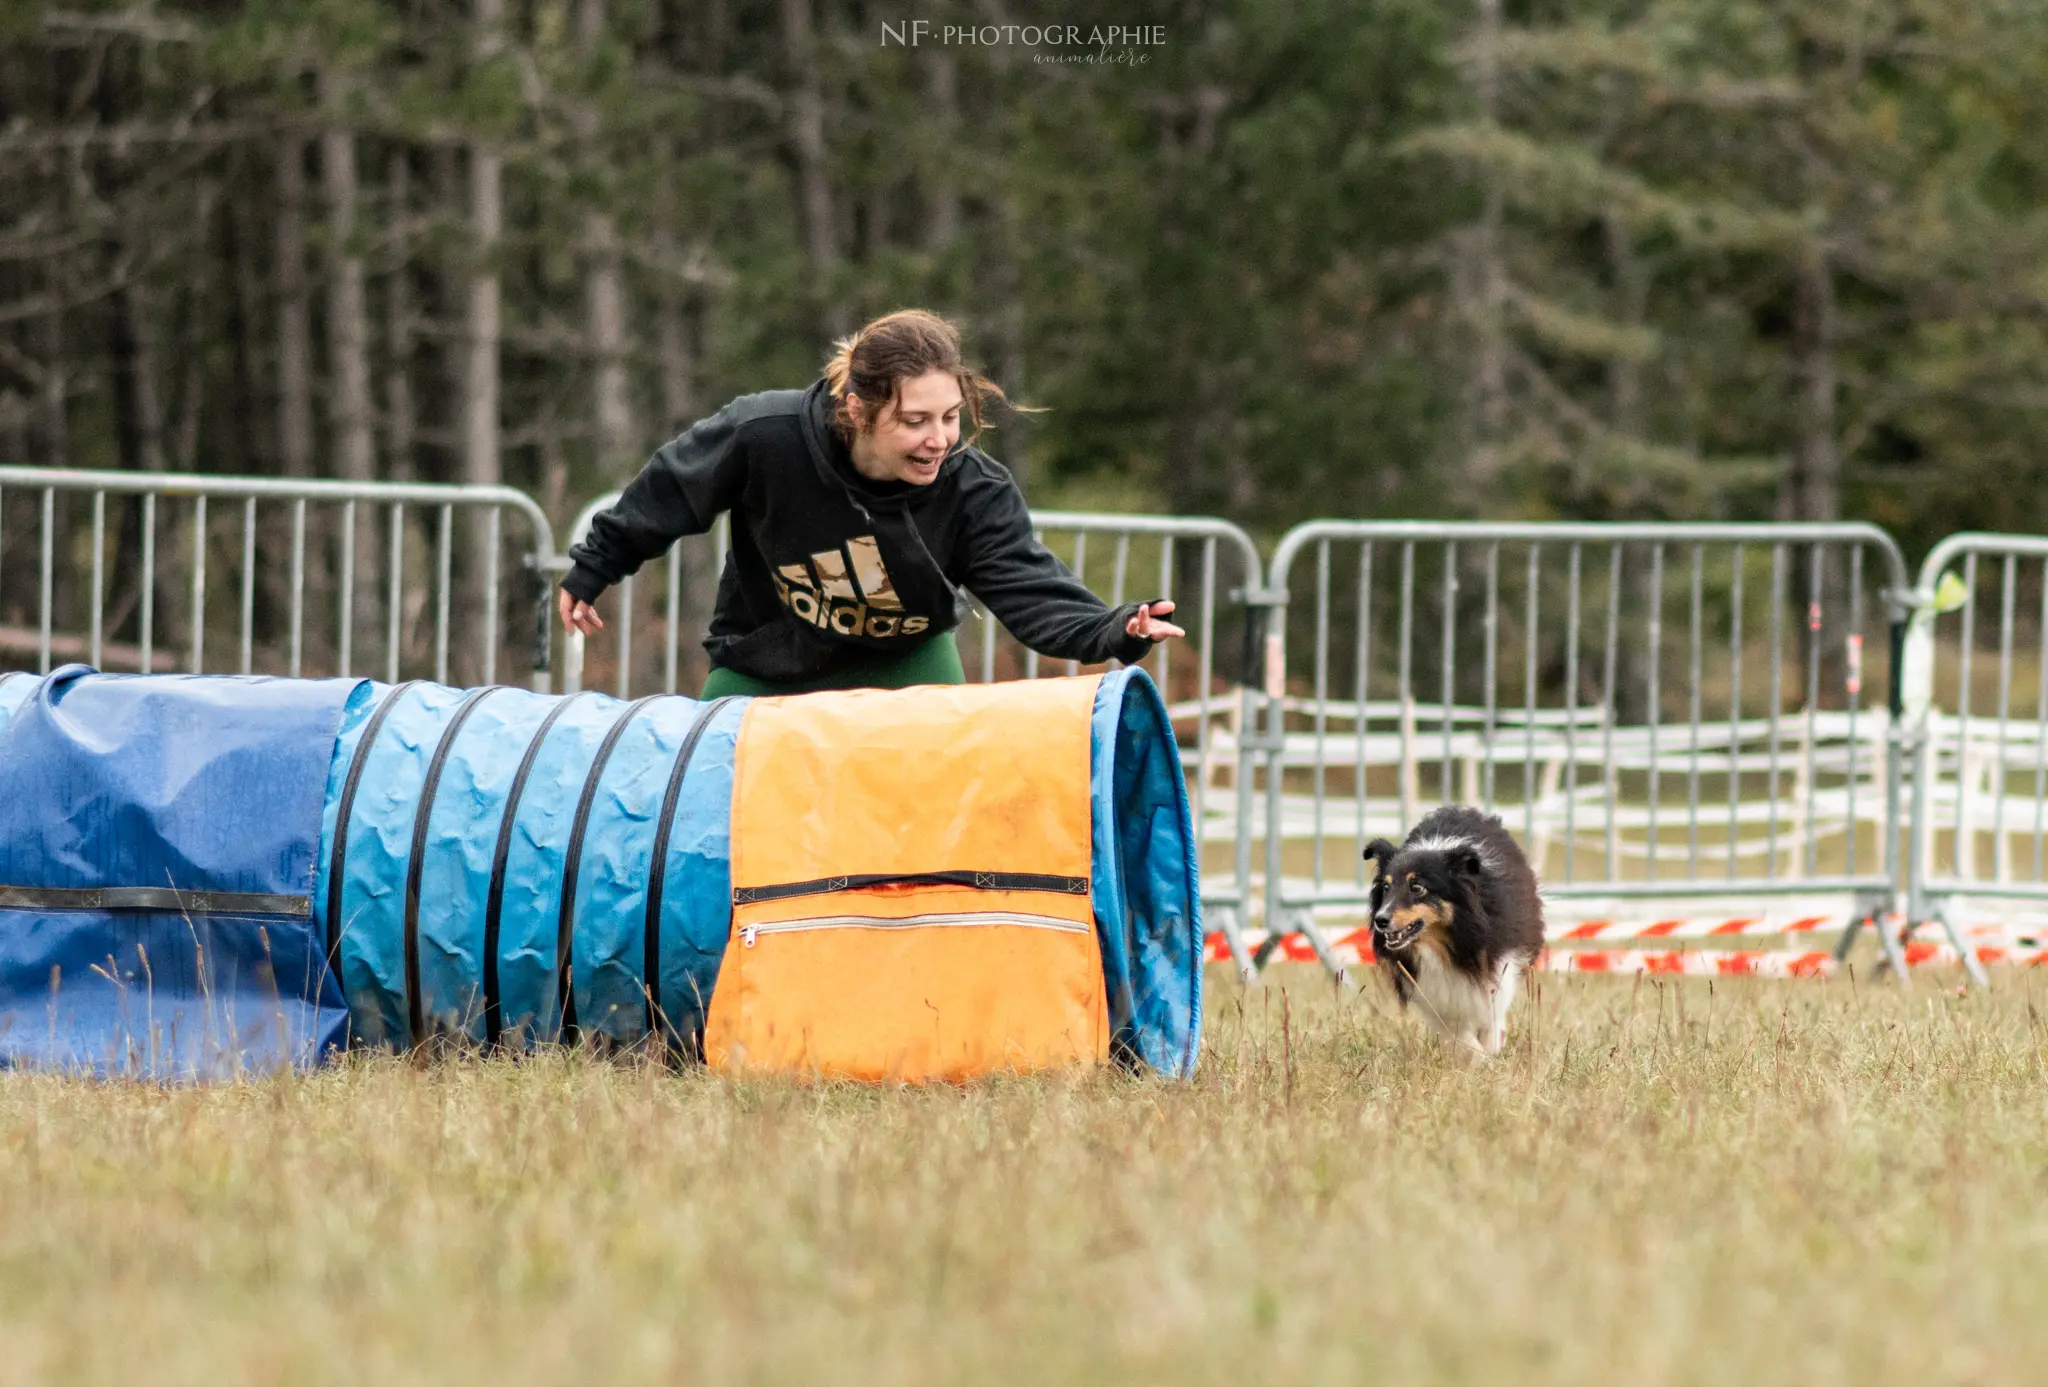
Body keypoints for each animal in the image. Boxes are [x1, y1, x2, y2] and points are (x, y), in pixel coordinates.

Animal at [1368, 807, 1540, 1057]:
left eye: (1417, 888)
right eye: (1386, 887)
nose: (1380, 920)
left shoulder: (1500, 961)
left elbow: (1492, 1010)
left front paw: (1490, 1049)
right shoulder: (1427, 987)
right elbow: (1457, 1031)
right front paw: (1477, 1056)